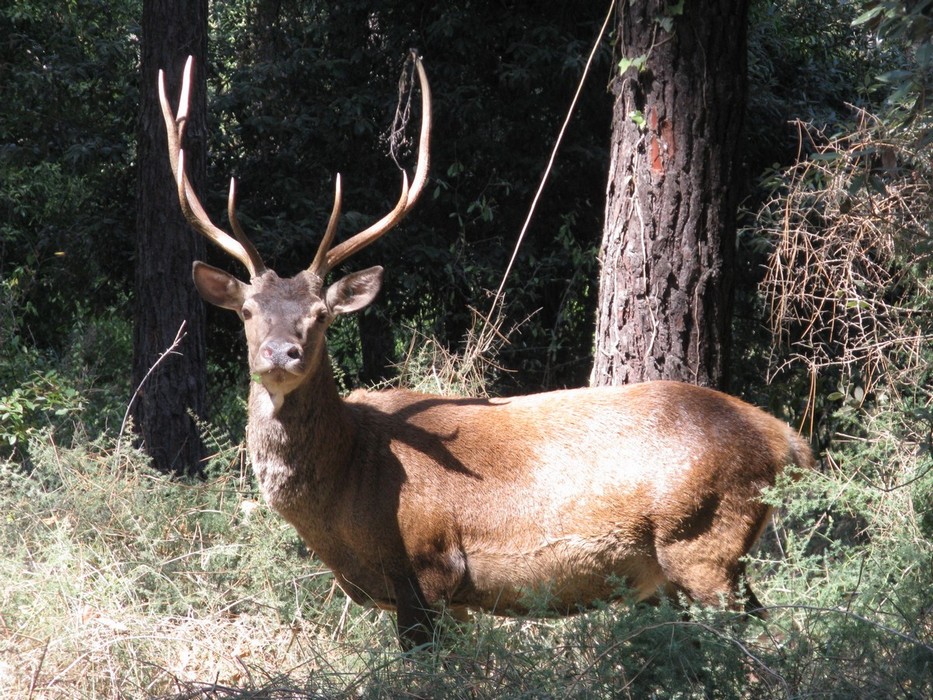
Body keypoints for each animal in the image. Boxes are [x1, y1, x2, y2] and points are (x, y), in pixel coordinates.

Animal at [159, 54, 814, 650]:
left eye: (321, 316)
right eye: (247, 311)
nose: (280, 353)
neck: (347, 498)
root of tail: (789, 442)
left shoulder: (427, 568)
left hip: (704, 541)